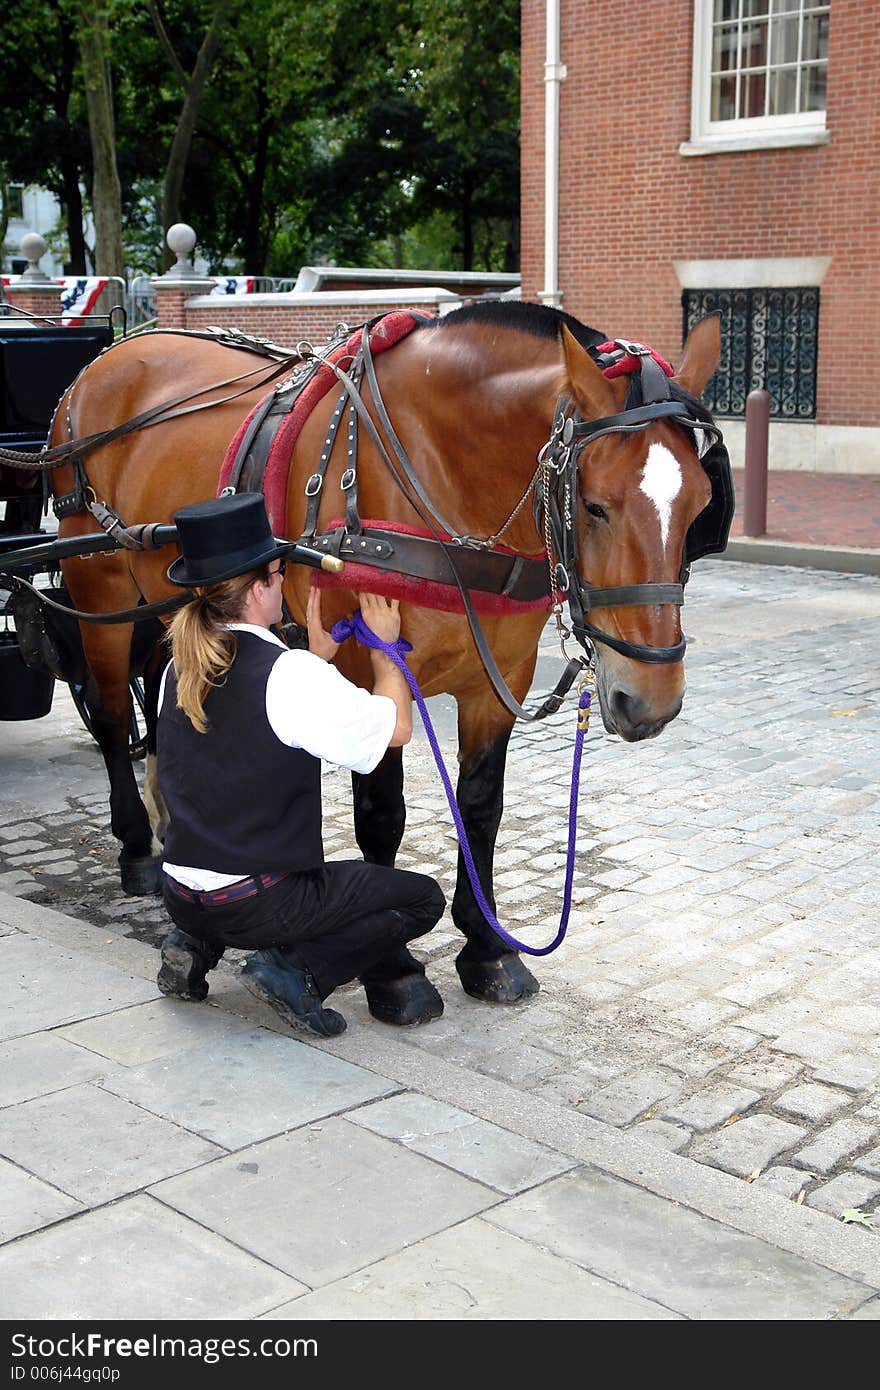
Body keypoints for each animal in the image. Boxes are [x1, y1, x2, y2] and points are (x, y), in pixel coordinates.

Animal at [47, 301, 722, 1000]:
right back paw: (135, 848)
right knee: (112, 717)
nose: (650, 701)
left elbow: (482, 807)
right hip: (101, 594)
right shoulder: (369, 675)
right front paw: (395, 970)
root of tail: (112, 353)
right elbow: (381, 813)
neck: (448, 483)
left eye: (700, 507)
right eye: (594, 506)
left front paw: (486, 949)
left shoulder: (499, 681)